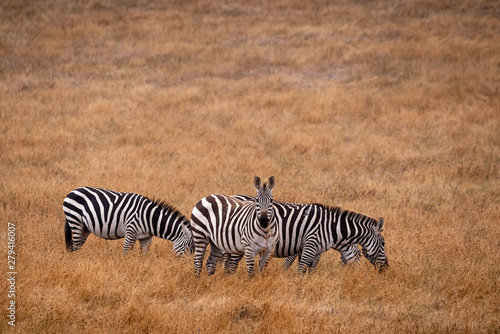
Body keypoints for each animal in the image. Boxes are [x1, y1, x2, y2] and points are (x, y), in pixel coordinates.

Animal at [62, 187, 193, 254]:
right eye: (188, 249)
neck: (149, 218)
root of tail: (72, 191)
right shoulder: (131, 231)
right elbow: (126, 252)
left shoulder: (146, 238)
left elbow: (144, 255)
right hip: (75, 221)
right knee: (74, 246)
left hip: (85, 228)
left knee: (77, 246)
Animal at [225, 197, 388, 272]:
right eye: (383, 244)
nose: (386, 268)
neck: (331, 227)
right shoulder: (303, 245)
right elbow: (295, 265)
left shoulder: (312, 249)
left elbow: (310, 267)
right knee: (232, 264)